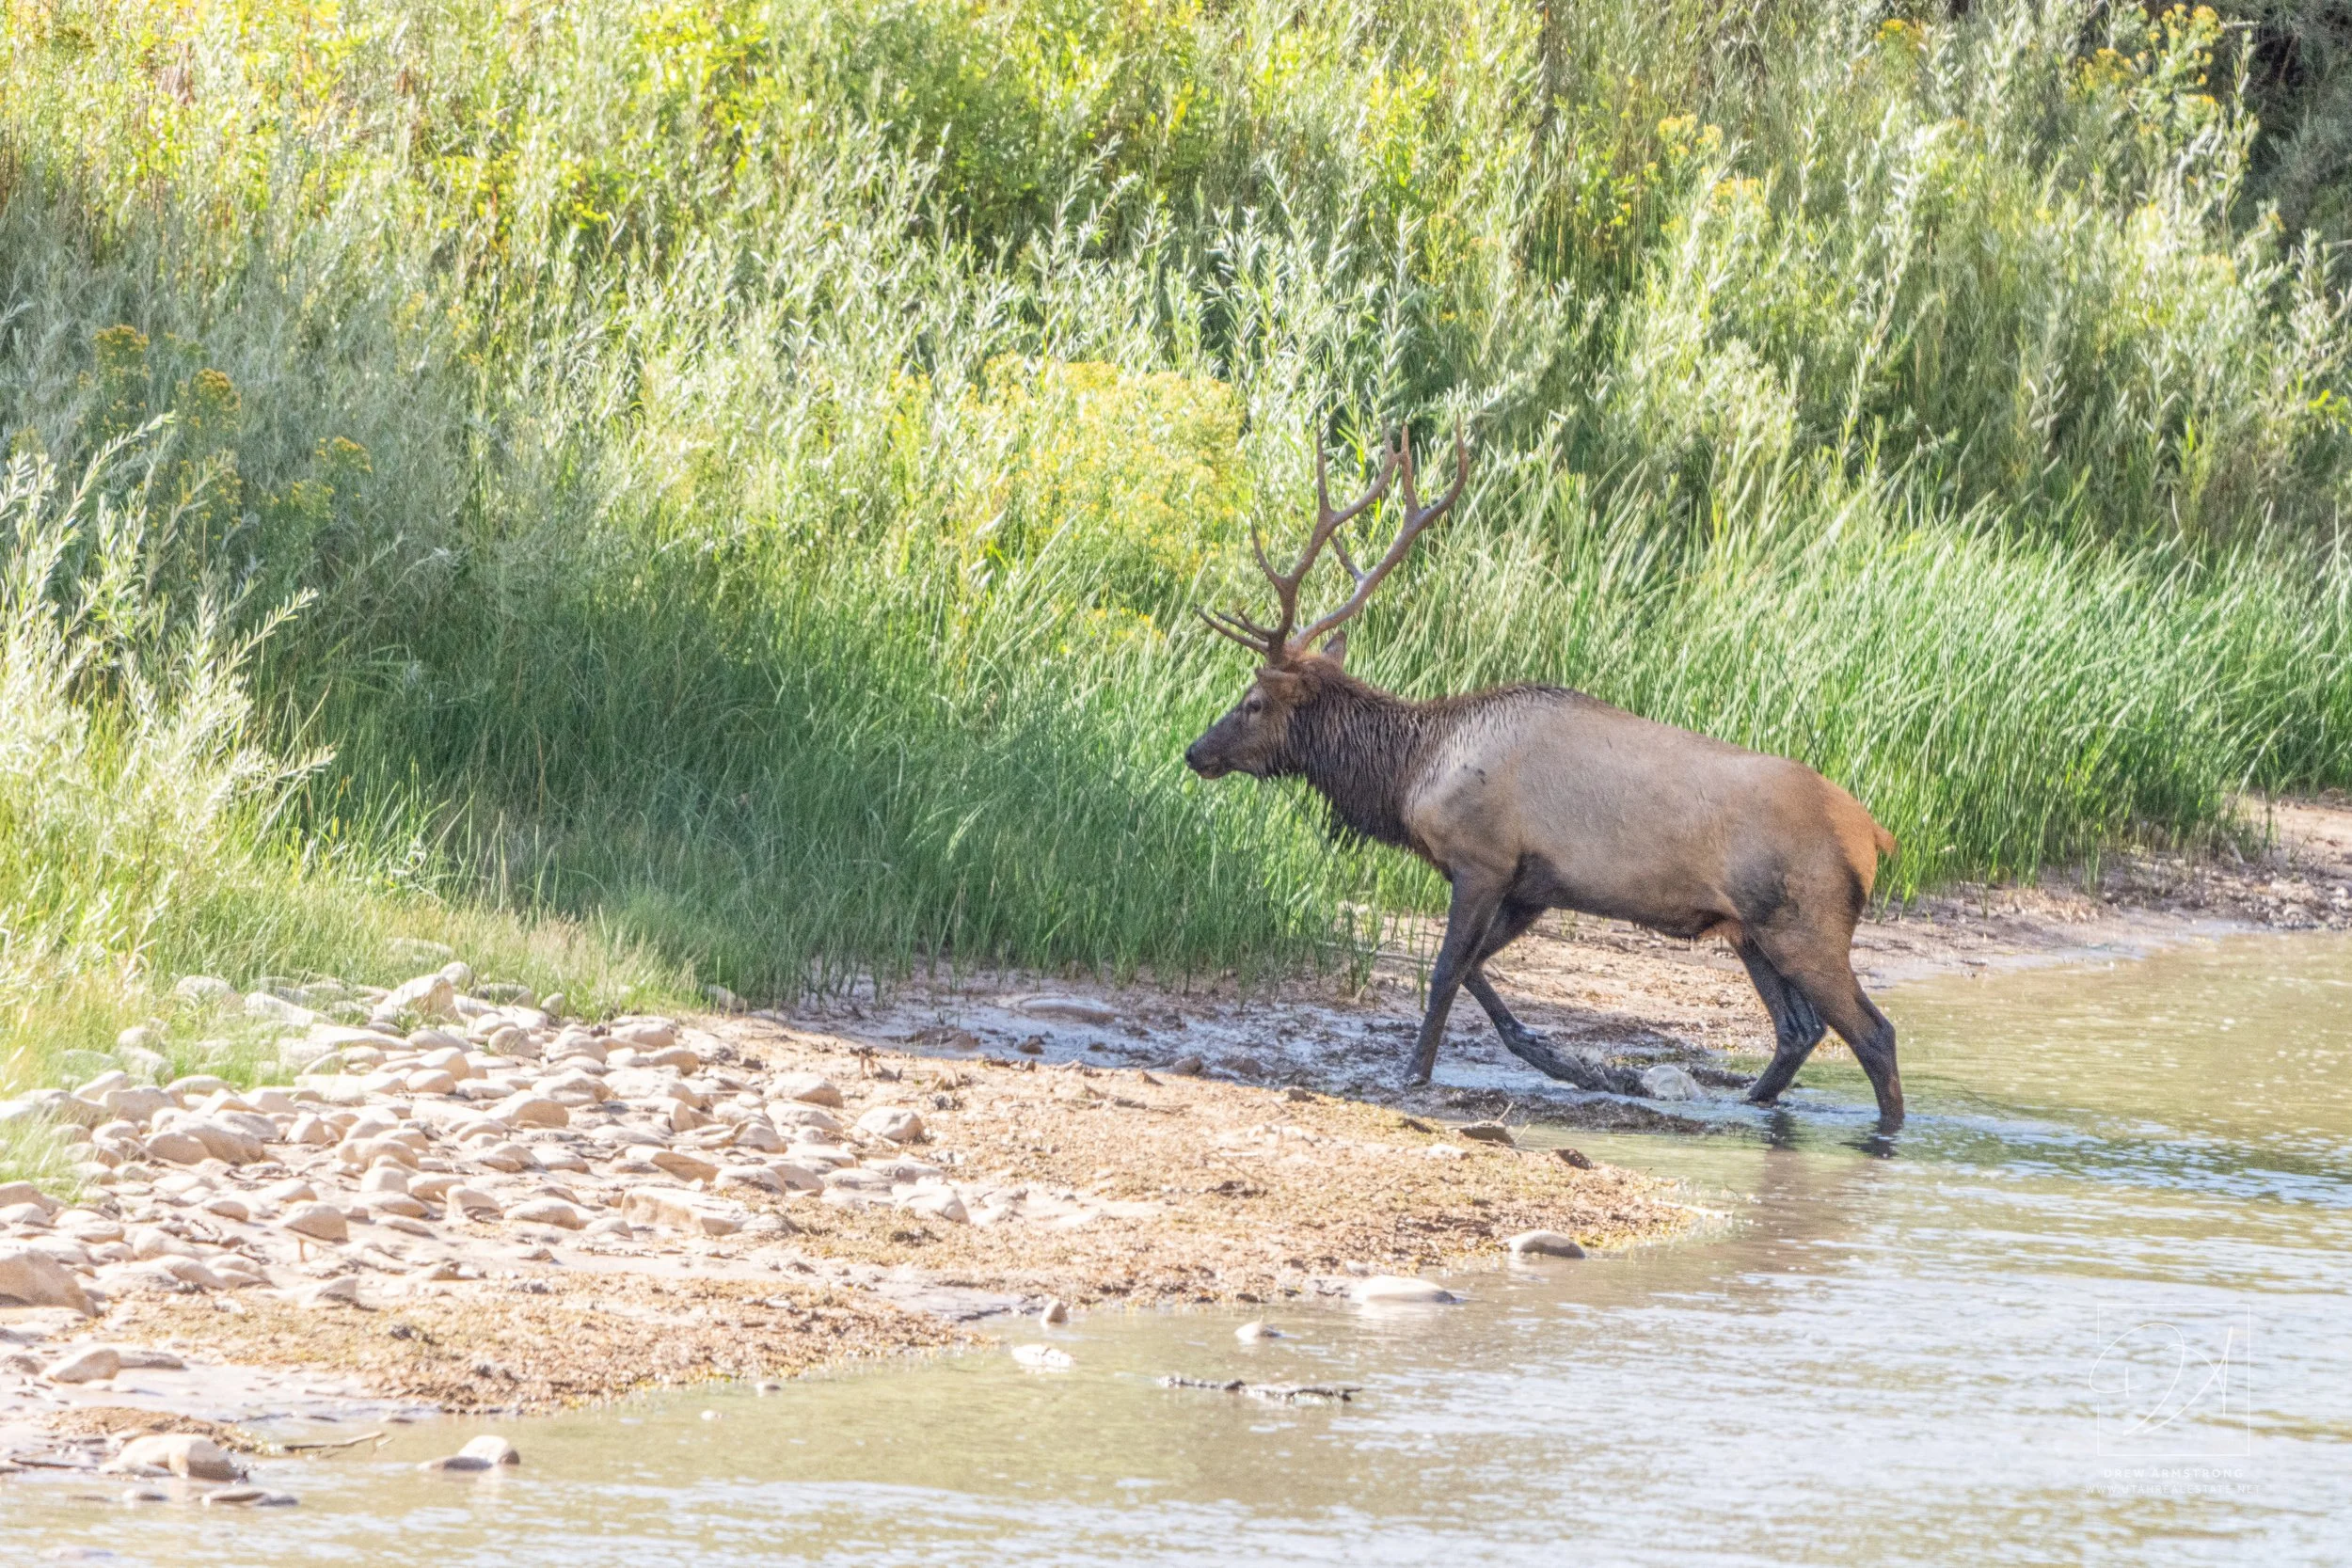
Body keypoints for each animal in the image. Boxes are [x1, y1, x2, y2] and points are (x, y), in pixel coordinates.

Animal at [1183, 428, 1906, 1131]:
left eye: (1253, 701)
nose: (1195, 752)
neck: (1411, 776)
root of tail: (1875, 833)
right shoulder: (1533, 887)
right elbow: (1473, 968)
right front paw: (1583, 1066)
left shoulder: (1483, 859)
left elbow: (1444, 970)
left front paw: (1415, 1071)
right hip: (1750, 929)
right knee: (1798, 1030)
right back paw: (1748, 1103)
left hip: (1806, 924)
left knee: (1874, 1033)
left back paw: (1886, 1131)